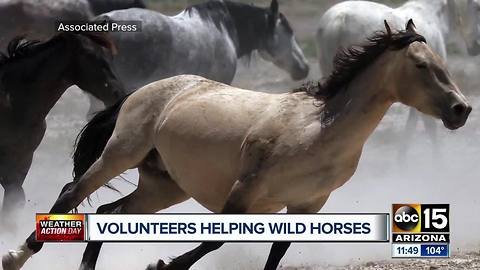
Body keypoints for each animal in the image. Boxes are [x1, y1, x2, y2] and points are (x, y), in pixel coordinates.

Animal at [0, 31, 125, 225]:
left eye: (110, 57)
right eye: (91, 56)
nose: (118, 93)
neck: (13, 101)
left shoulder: (21, 161)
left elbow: (14, 200)